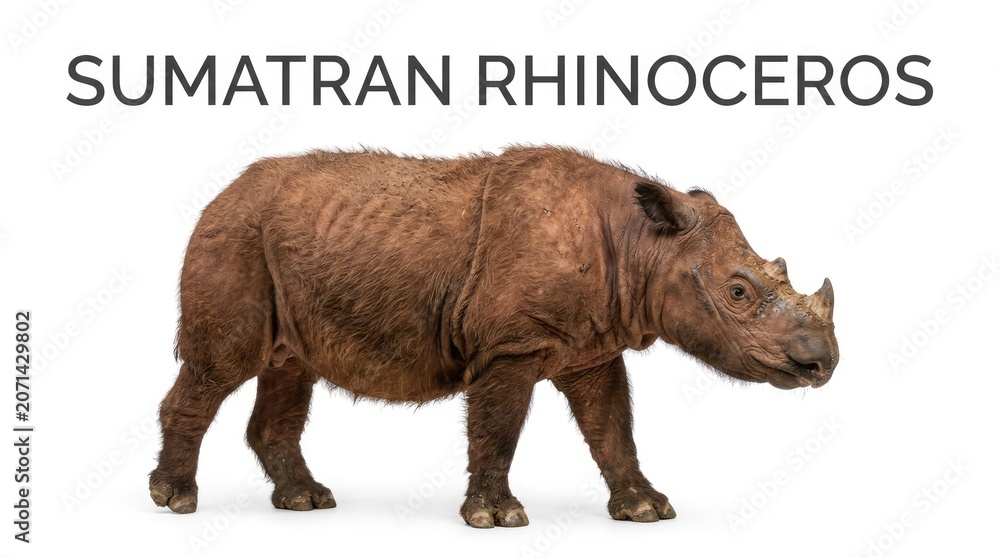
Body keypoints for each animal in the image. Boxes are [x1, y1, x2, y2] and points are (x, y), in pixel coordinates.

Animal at [149, 146, 839, 527]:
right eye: (739, 293)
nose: (822, 363)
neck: (642, 242)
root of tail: (219, 193)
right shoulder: (511, 344)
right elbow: (499, 427)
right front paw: (497, 518)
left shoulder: (593, 346)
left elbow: (613, 426)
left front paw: (645, 511)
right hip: (234, 234)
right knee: (221, 366)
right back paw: (176, 501)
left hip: (283, 245)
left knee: (290, 363)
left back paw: (306, 501)